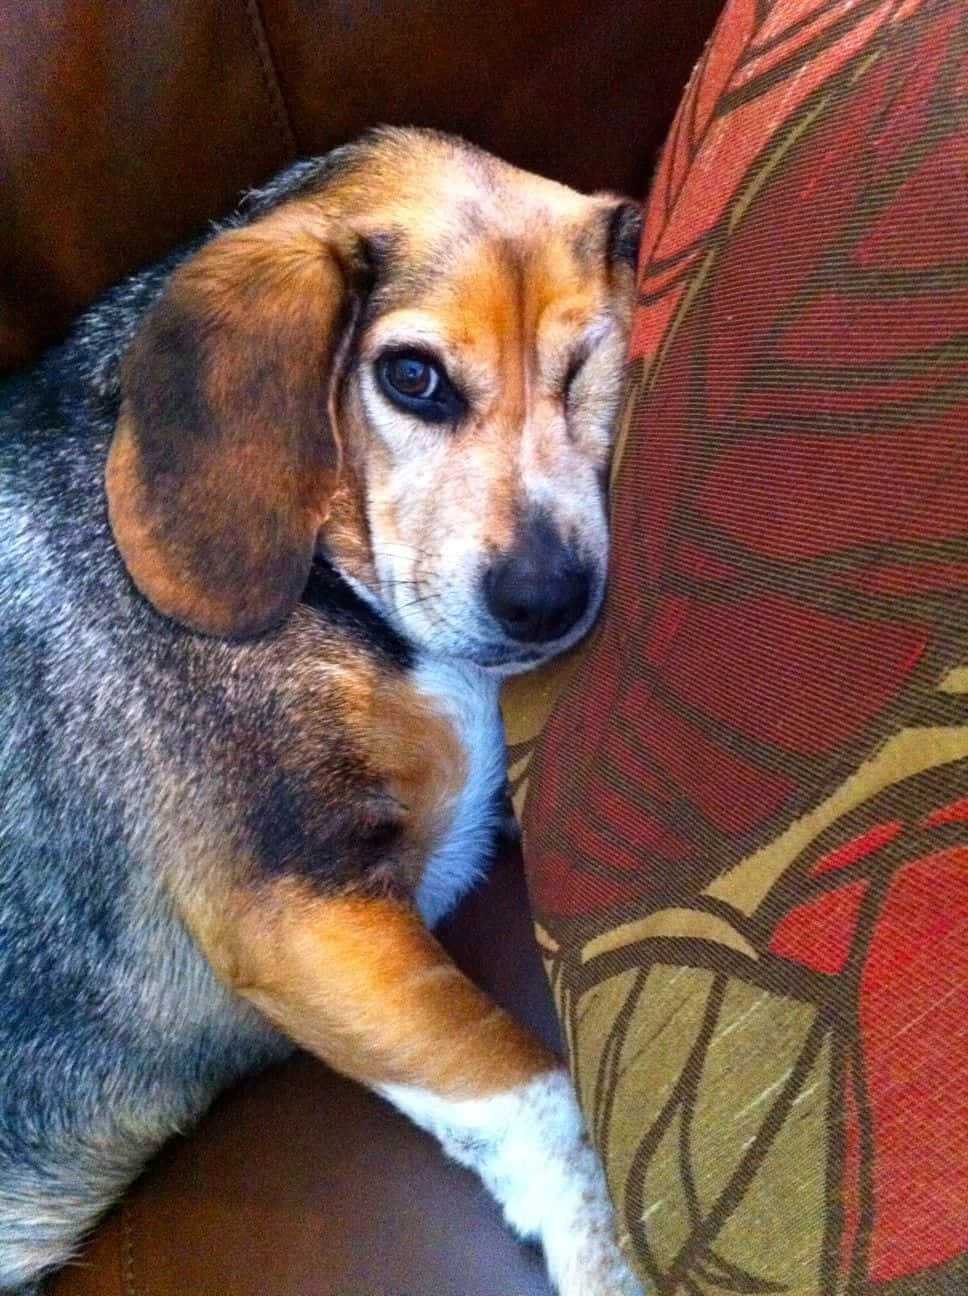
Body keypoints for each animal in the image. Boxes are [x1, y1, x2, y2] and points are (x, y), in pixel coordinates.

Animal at [0, 123, 647, 1296]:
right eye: (411, 377)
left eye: (586, 367)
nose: (547, 598)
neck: (339, 587)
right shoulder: (297, 907)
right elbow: (528, 1088)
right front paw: (610, 1252)